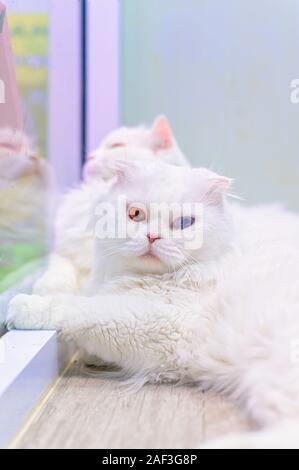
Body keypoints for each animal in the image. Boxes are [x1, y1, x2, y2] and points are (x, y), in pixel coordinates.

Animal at [7, 161, 299, 448]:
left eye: (184, 222)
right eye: (136, 214)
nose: (152, 236)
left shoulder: (158, 324)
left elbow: (79, 309)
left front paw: (24, 306)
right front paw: (92, 357)